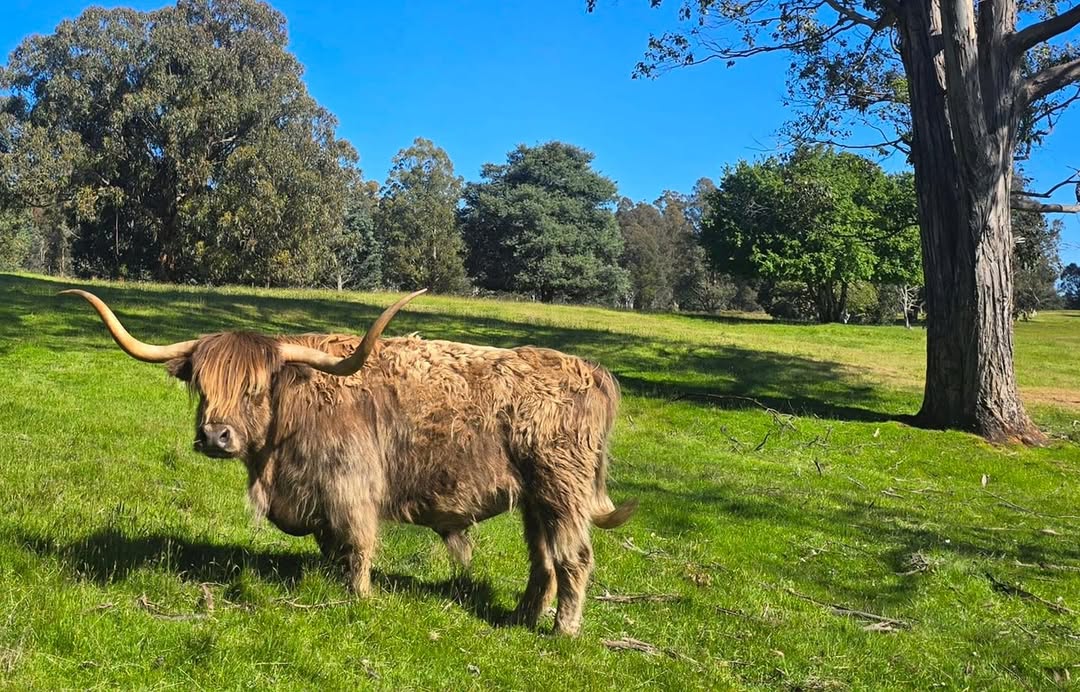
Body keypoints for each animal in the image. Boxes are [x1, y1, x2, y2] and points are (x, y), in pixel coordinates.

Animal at [63, 288, 636, 635]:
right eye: (203, 387)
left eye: (254, 389)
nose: (215, 436)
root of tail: (591, 371)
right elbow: (331, 546)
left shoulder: (351, 486)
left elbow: (357, 545)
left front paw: (359, 599)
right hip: (534, 499)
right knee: (543, 559)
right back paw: (522, 615)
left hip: (562, 490)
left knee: (574, 557)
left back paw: (563, 630)